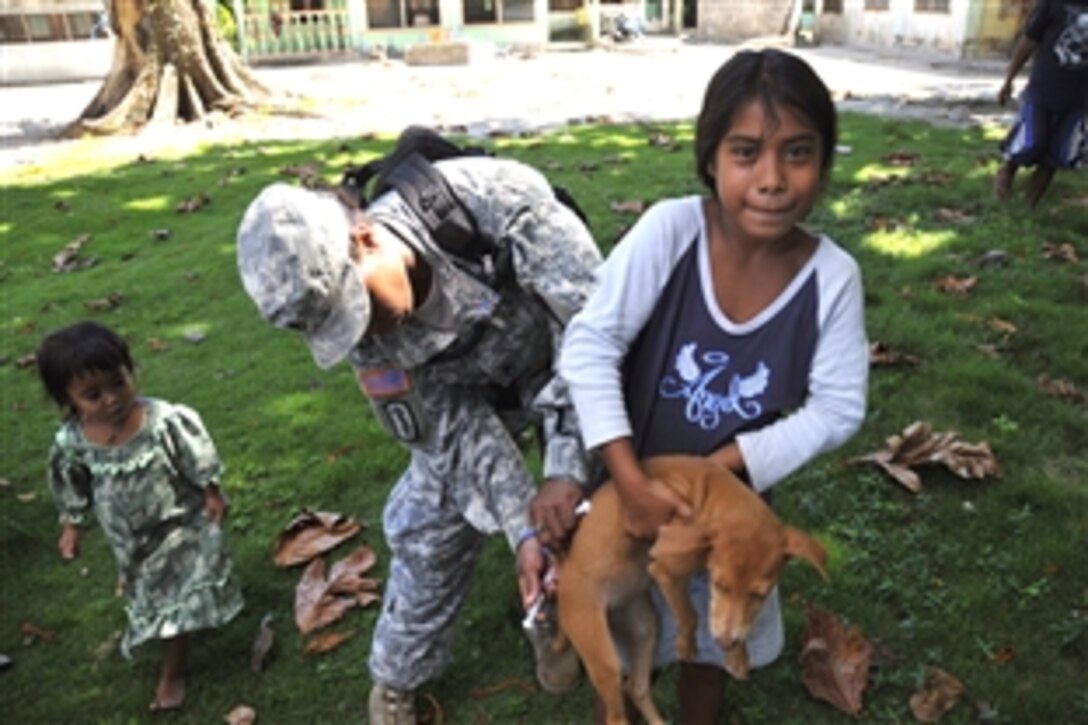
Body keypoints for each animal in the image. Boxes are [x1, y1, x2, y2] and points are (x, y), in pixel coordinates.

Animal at [557, 455, 826, 718]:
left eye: (760, 594)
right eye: (719, 584)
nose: (725, 645)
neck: (711, 493)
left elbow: (730, 620)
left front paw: (737, 656)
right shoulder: (665, 571)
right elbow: (689, 614)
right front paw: (687, 645)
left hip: (645, 630)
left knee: (636, 687)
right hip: (603, 655)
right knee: (615, 713)